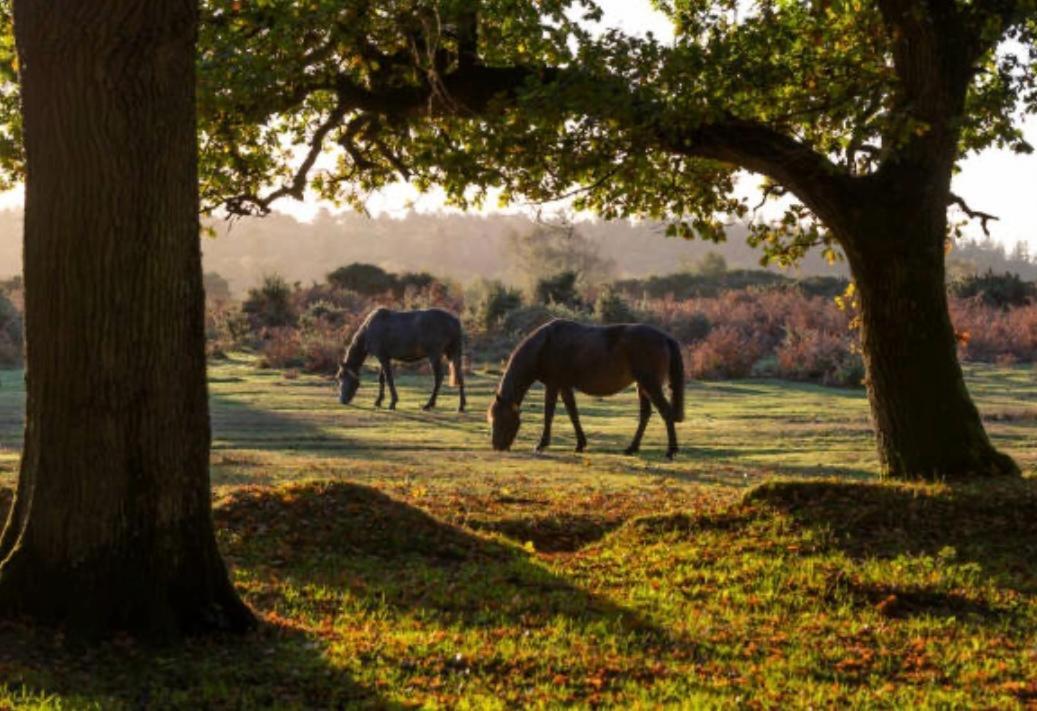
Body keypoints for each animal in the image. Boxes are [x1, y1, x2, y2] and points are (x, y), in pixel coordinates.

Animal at [335, 306, 466, 412]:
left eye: (341, 376)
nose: (342, 400)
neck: (369, 329)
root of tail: (454, 321)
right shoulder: (384, 357)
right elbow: (382, 379)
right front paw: (378, 401)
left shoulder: (382, 357)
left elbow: (389, 379)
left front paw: (392, 403)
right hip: (453, 353)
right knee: (459, 376)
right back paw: (461, 406)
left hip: (434, 355)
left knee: (438, 377)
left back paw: (429, 404)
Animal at [487, 319, 684, 462]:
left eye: (501, 420)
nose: (497, 447)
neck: (544, 345)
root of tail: (664, 337)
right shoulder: (564, 386)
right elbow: (573, 413)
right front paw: (580, 444)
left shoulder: (553, 385)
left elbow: (549, 413)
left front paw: (541, 444)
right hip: (642, 386)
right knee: (645, 414)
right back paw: (632, 448)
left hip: (650, 384)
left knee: (666, 412)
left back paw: (670, 451)